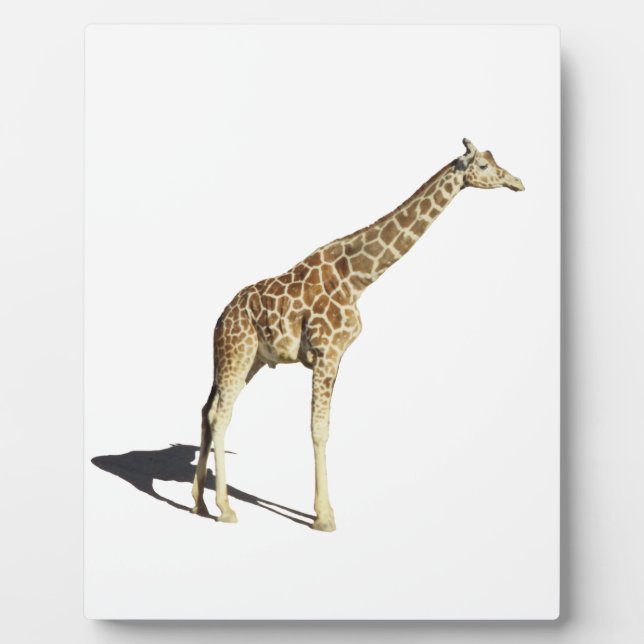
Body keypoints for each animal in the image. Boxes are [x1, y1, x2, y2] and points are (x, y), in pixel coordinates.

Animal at [191, 138, 524, 531]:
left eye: (495, 160)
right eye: (484, 166)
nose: (517, 182)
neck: (358, 277)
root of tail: (220, 318)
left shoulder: (337, 358)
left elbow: (325, 426)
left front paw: (324, 512)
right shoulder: (326, 352)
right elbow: (319, 429)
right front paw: (324, 517)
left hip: (246, 358)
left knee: (207, 409)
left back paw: (198, 503)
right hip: (238, 351)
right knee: (220, 415)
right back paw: (225, 509)